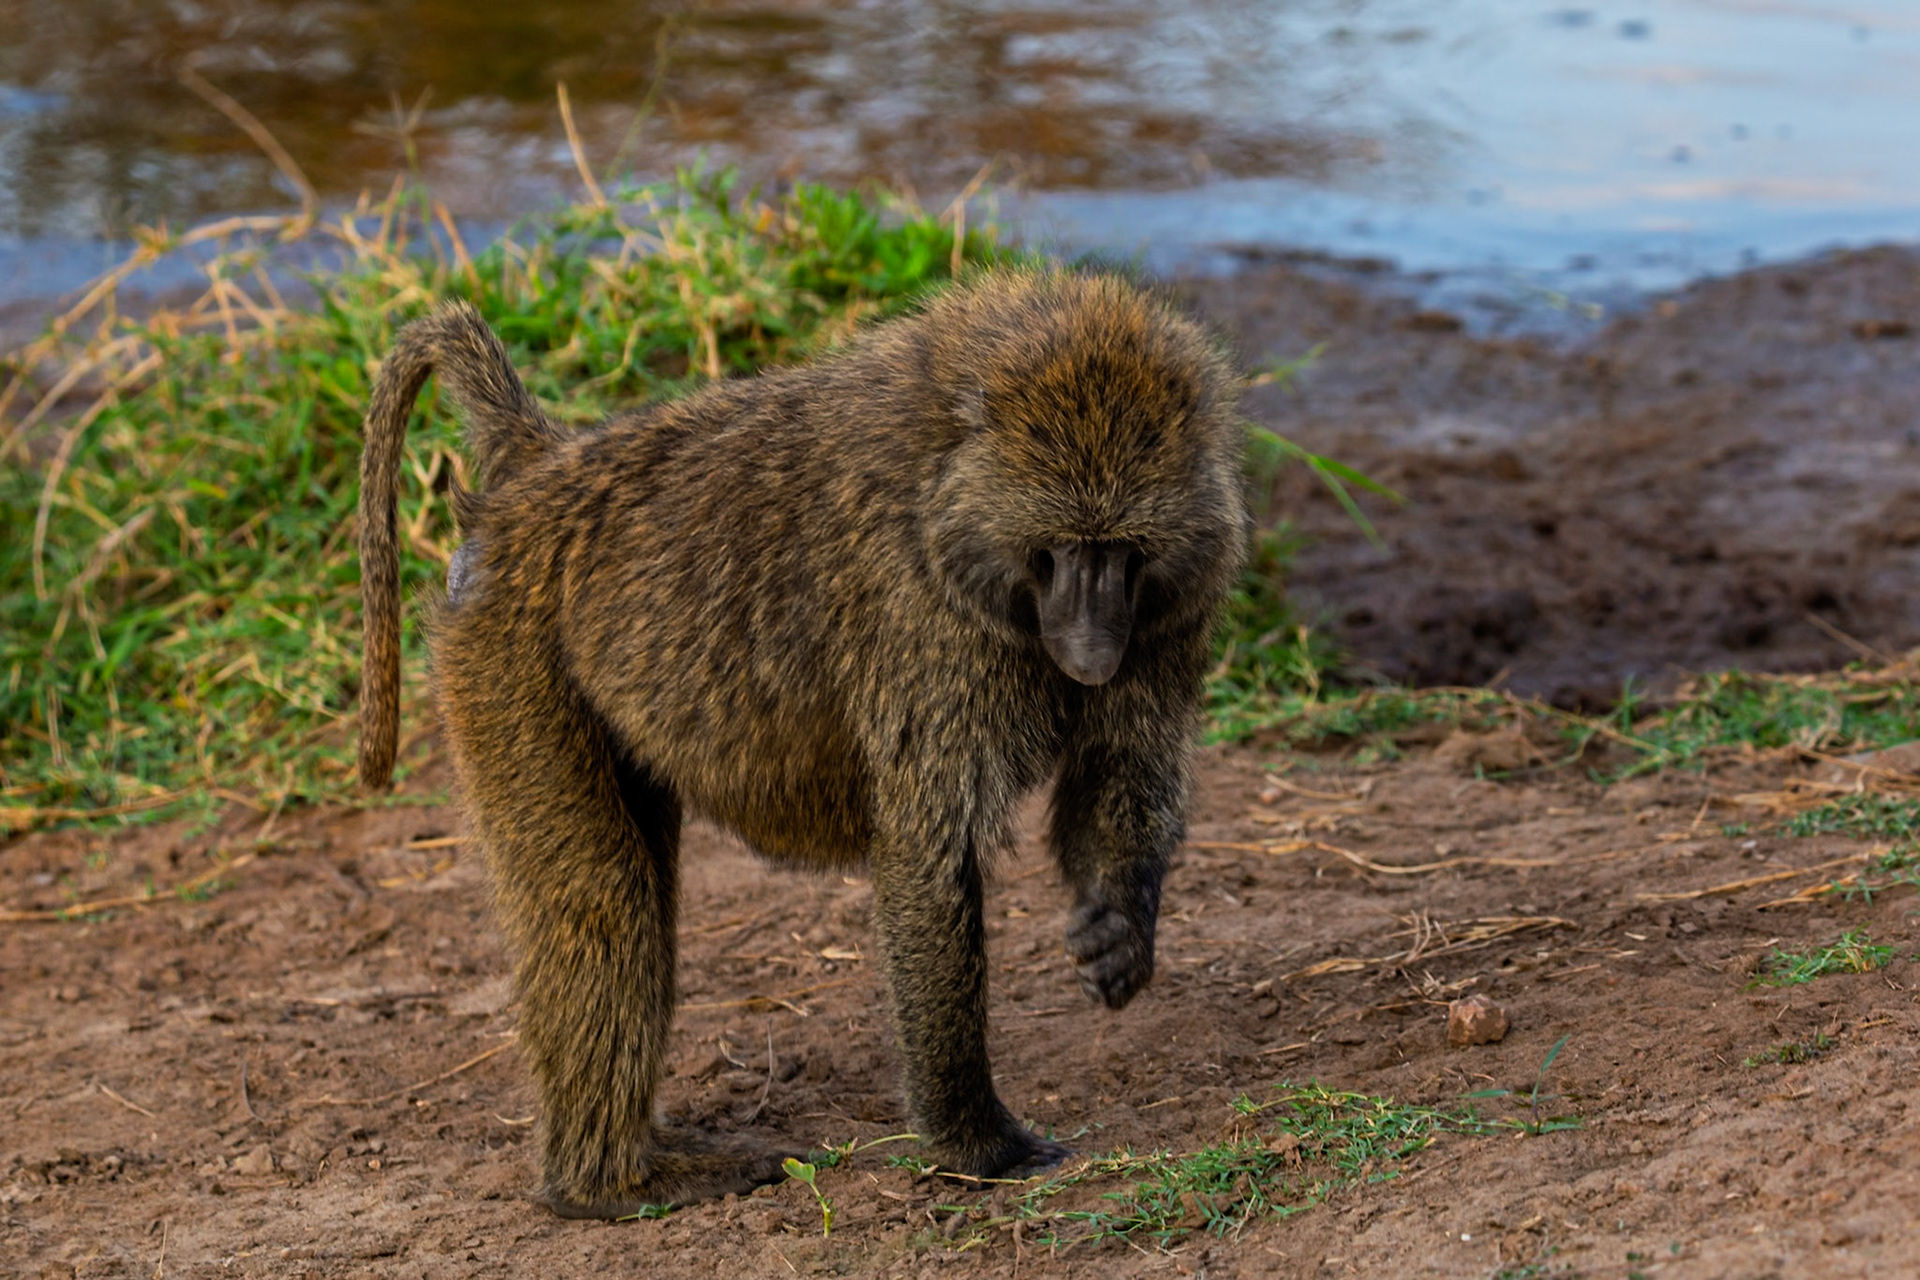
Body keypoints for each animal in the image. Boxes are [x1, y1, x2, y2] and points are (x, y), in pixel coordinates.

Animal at [358, 269, 1250, 1218]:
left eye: (1122, 550)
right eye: (1059, 550)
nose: (1091, 652)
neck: (947, 471)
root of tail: (541, 472)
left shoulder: (1174, 600)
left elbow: (1118, 770)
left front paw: (1117, 931)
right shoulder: (922, 618)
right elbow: (929, 850)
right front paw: (977, 1142)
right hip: (507, 657)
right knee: (604, 902)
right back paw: (606, 1184)